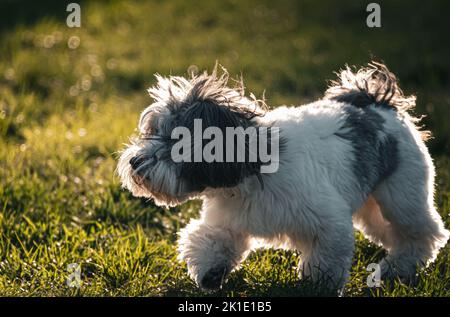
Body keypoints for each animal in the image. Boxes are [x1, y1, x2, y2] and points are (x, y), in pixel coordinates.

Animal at [117, 62, 450, 292]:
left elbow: (326, 259)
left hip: (401, 194)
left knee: (423, 234)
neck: (250, 170)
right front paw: (212, 272)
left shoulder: (328, 221)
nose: (135, 161)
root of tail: (378, 103)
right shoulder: (230, 219)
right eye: (152, 132)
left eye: (176, 140)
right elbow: (213, 240)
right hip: (373, 207)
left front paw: (317, 286)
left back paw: (397, 269)